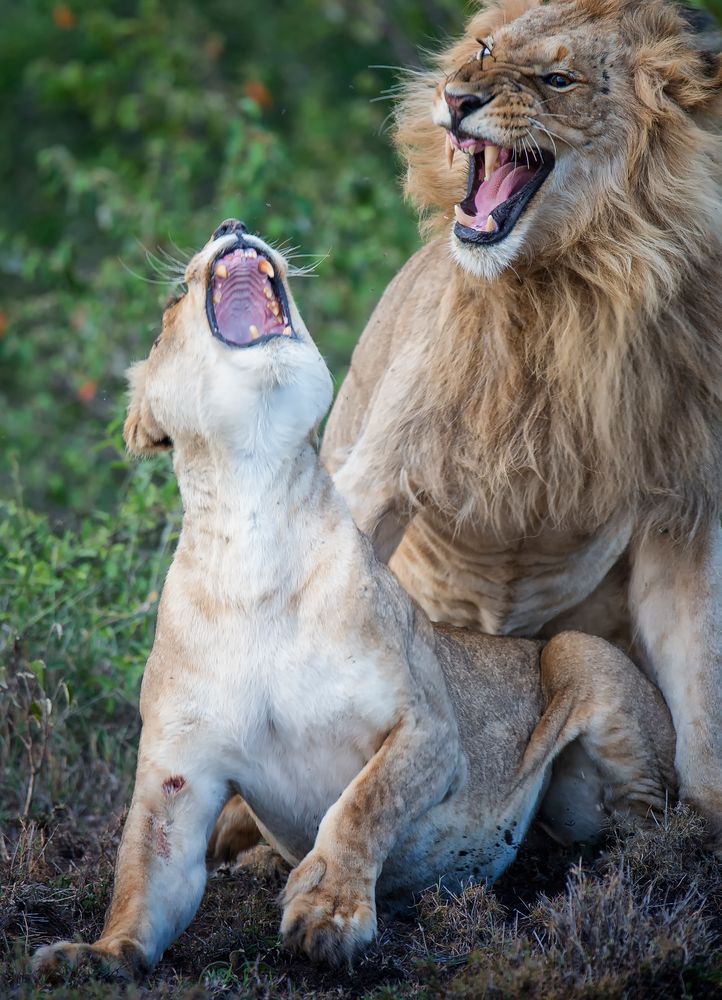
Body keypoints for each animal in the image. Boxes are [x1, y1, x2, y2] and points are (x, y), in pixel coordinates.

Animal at [33, 221, 672, 976]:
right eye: (171, 302)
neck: (255, 519)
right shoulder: (177, 778)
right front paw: (90, 957)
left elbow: (362, 803)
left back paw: (624, 868)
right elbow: (140, 882)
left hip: (577, 652)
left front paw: (327, 912)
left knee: (651, 813)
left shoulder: (429, 728)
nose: (230, 227)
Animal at [320, 0, 720, 844]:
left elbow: (703, 693)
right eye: (481, 50)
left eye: (557, 80)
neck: (570, 286)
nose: (456, 97)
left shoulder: (683, 503)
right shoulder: (381, 471)